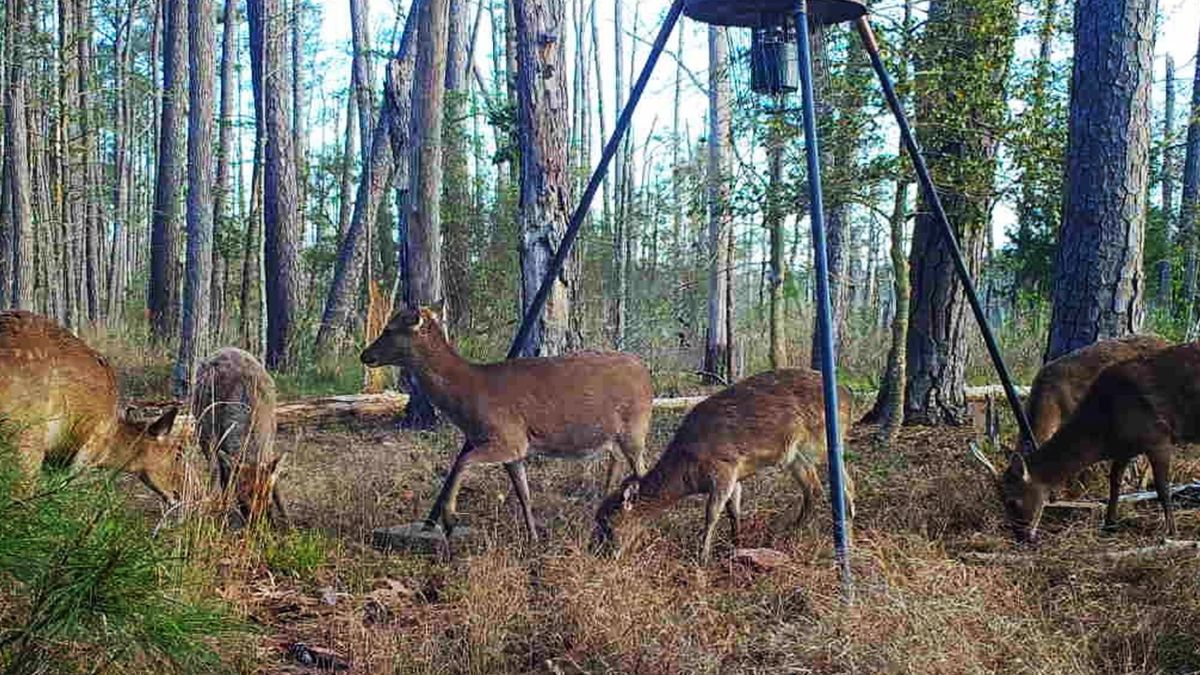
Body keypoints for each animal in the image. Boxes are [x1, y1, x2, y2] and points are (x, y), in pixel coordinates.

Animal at [191, 347, 287, 526]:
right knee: (218, 473)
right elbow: (220, 476)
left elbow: (276, 479)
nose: (256, 524)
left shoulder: (271, 439)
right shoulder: (212, 439)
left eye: (266, 496)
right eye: (242, 499)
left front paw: (285, 520)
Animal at [360, 304, 653, 540]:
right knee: (618, 464)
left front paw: (450, 519)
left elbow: (462, 461)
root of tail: (647, 374)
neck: (468, 394)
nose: (364, 355)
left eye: (389, 330)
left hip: (635, 428)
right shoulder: (516, 451)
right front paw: (533, 538)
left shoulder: (508, 436)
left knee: (642, 469)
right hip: (615, 437)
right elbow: (523, 494)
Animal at [592, 368, 855, 564]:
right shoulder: (736, 476)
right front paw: (737, 544)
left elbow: (711, 513)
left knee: (846, 484)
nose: (599, 554)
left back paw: (846, 539)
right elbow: (733, 510)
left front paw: (703, 557)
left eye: (609, 524)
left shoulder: (724, 467)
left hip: (822, 442)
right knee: (813, 489)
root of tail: (847, 396)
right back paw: (792, 532)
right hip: (795, 456)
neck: (687, 471)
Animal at [974, 341, 1200, 543]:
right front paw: (1108, 525)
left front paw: (1171, 532)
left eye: (1012, 502)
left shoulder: (1158, 437)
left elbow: (1162, 487)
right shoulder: (1124, 448)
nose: (1021, 538)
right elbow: (1114, 482)